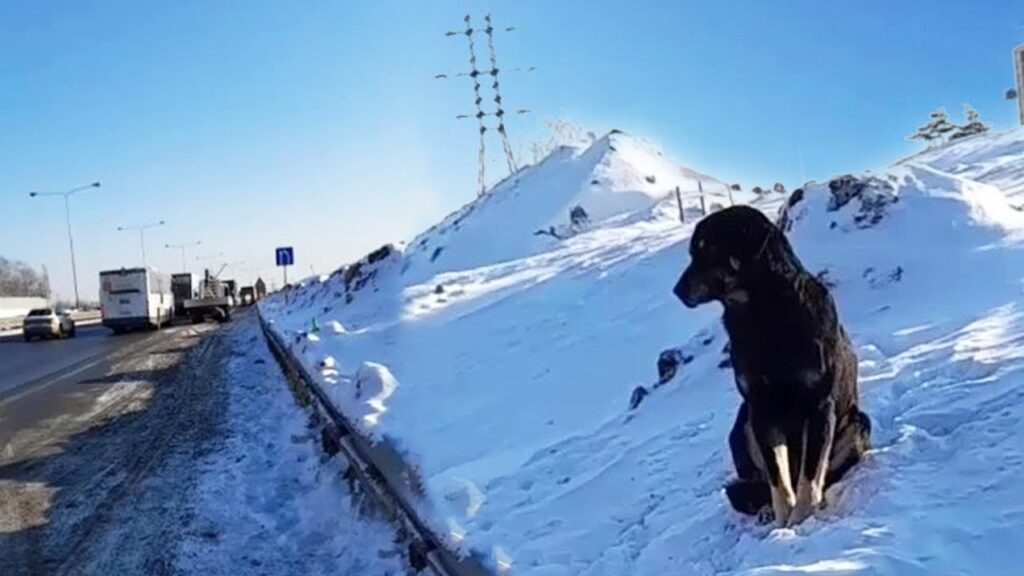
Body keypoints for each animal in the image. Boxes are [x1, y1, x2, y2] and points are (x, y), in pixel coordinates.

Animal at [671, 204, 872, 524]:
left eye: (708, 249)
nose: (678, 290)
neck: (764, 313)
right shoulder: (760, 407)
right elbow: (779, 477)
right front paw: (783, 522)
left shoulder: (819, 405)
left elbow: (809, 477)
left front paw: (800, 521)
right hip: (742, 425)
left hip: (858, 423)